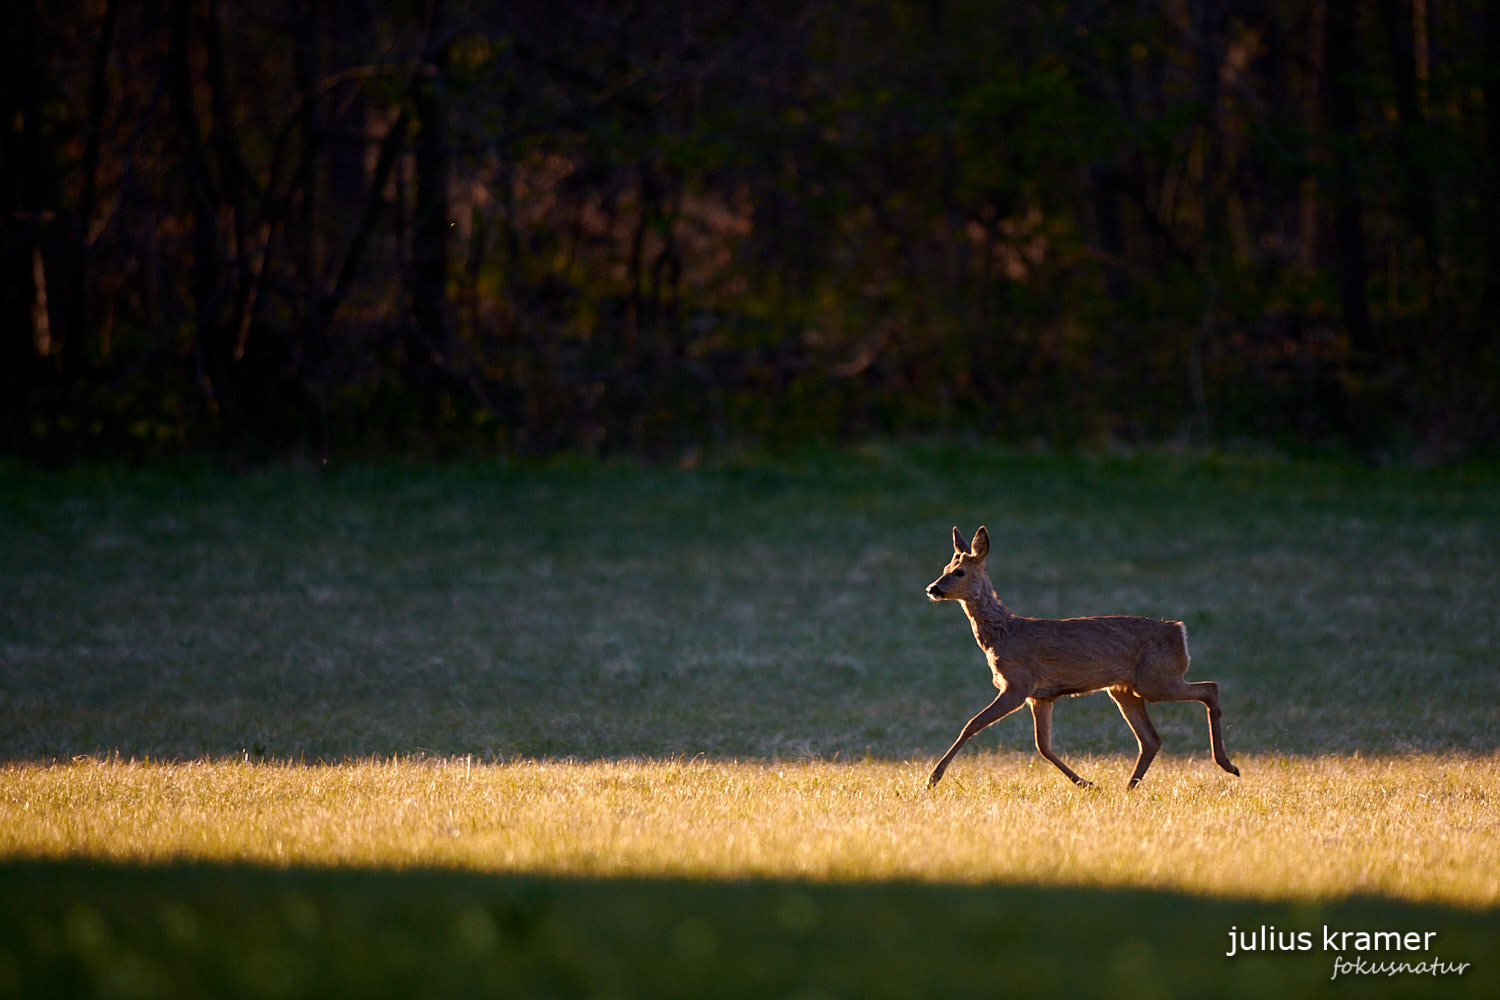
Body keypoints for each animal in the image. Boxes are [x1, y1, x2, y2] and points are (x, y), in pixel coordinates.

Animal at [924, 524, 1242, 791]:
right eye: (945, 567)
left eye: (959, 572)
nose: (932, 588)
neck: (1001, 634)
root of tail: (1179, 631)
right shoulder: (1040, 696)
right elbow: (1043, 746)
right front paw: (1086, 783)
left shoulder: (1017, 685)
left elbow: (972, 725)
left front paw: (932, 779)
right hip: (1124, 689)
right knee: (1152, 739)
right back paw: (1129, 787)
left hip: (1156, 681)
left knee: (1210, 688)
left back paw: (1228, 765)